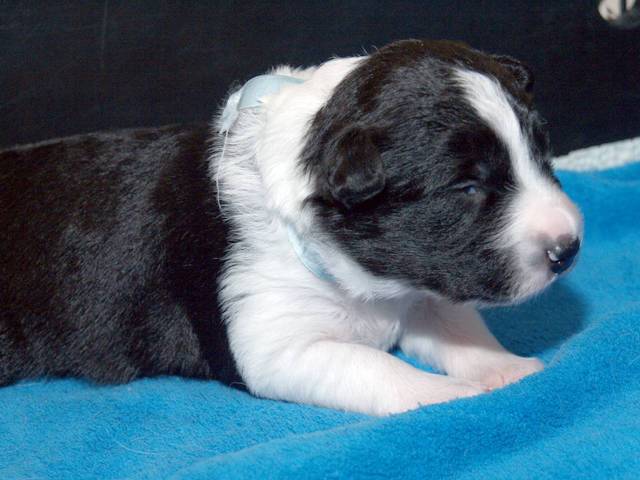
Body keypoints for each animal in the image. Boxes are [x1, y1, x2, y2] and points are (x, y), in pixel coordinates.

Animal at [0, 40, 583, 416]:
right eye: (466, 187)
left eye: (542, 153)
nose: (568, 248)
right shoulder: (277, 344)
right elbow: (376, 369)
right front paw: (451, 398)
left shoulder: (419, 285)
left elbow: (458, 326)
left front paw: (507, 368)